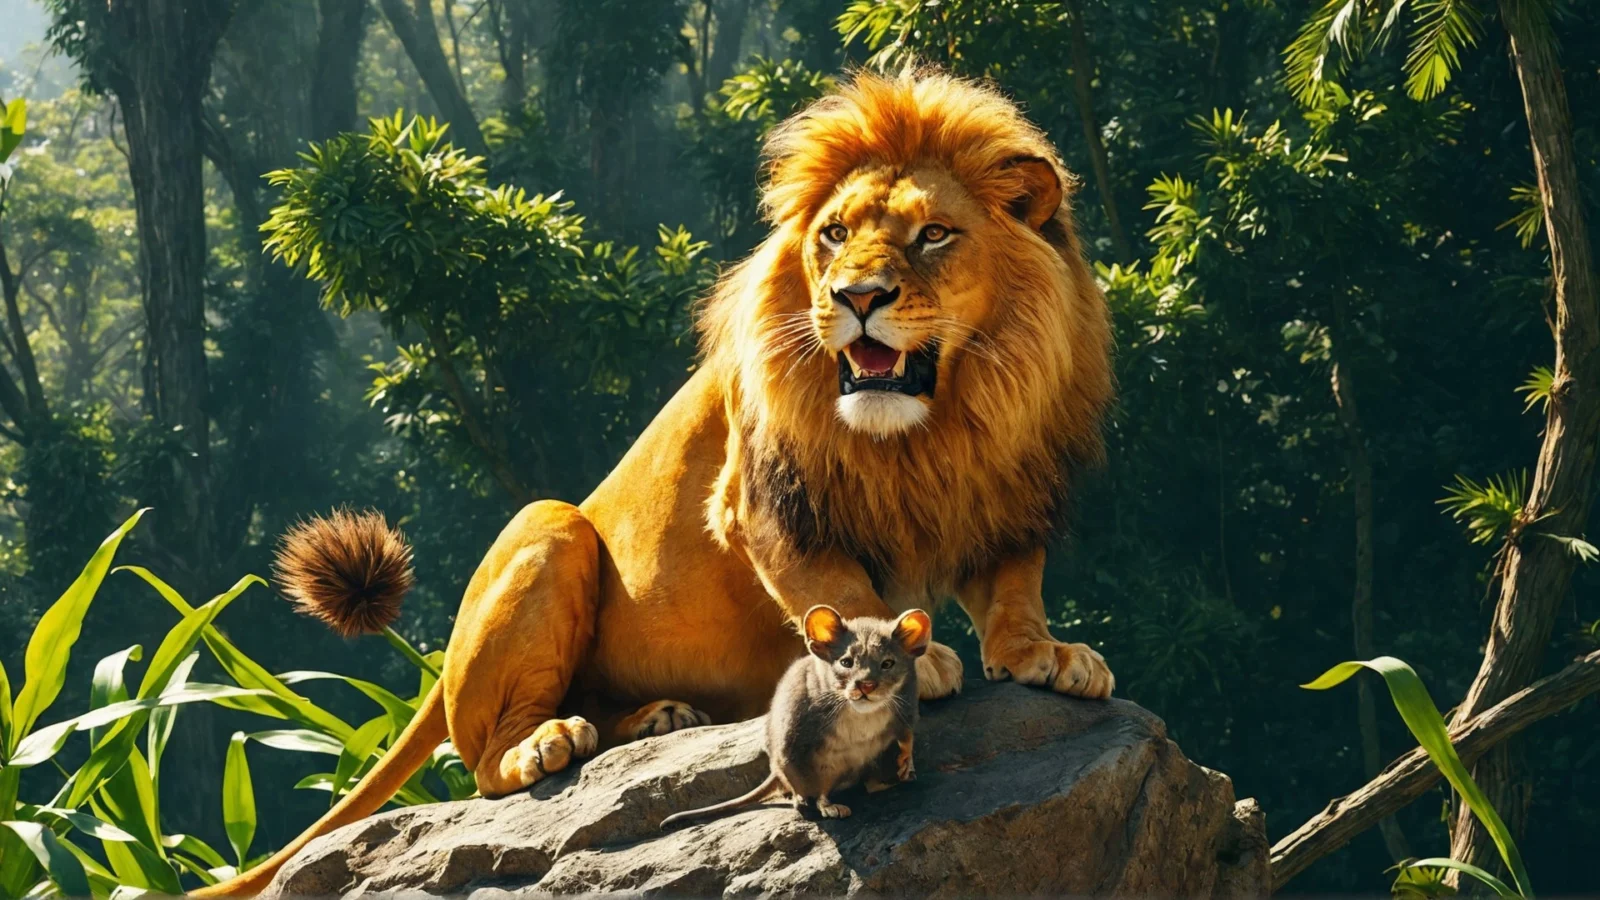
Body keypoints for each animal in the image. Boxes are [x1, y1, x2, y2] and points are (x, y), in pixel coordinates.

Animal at [198, 68, 1114, 896]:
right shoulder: (766, 503)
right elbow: (835, 587)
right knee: (483, 763)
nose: (856, 295)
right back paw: (548, 743)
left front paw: (1046, 652)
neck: (935, 426)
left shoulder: (1006, 487)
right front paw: (909, 658)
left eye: (933, 235)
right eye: (833, 233)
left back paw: (656, 718)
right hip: (552, 524)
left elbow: (1014, 585)